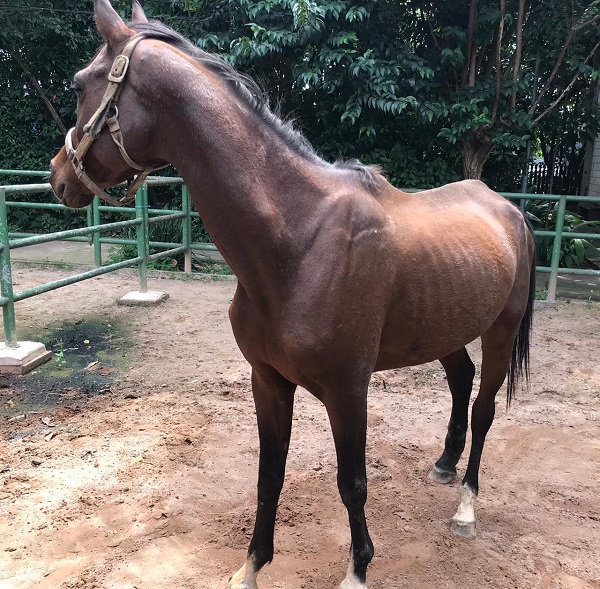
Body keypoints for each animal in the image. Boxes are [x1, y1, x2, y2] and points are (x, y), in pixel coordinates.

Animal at [51, 2, 536, 584]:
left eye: (81, 84)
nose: (57, 177)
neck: (299, 240)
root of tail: (507, 209)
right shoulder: (268, 381)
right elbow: (269, 477)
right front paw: (251, 565)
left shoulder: (347, 390)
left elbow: (353, 484)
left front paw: (357, 569)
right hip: (446, 332)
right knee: (461, 381)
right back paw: (444, 466)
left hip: (500, 331)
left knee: (484, 408)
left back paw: (466, 506)